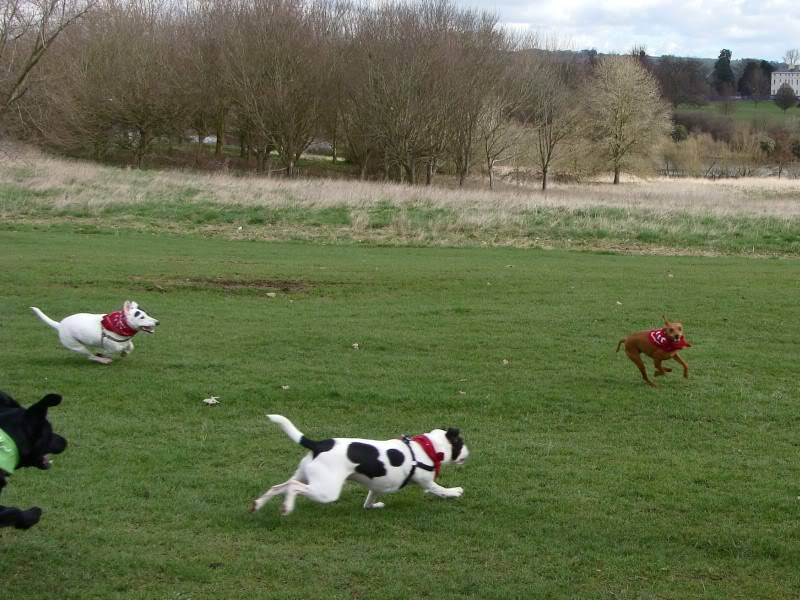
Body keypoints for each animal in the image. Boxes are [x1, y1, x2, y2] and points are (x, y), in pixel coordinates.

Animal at [31, 300, 159, 366]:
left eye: (147, 314)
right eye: (141, 317)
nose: (157, 322)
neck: (121, 325)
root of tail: (60, 325)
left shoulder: (126, 340)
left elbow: (130, 347)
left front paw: (124, 353)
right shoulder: (111, 345)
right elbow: (112, 349)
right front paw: (103, 354)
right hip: (76, 346)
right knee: (90, 356)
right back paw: (102, 359)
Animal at [250, 412, 468, 516]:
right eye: (461, 443)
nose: (468, 452)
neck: (426, 447)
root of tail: (318, 444)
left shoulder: (378, 486)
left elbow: (369, 501)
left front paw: (374, 506)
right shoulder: (427, 482)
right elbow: (439, 490)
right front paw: (454, 492)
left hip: (305, 475)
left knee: (280, 486)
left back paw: (258, 504)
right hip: (326, 490)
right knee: (293, 487)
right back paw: (287, 507)